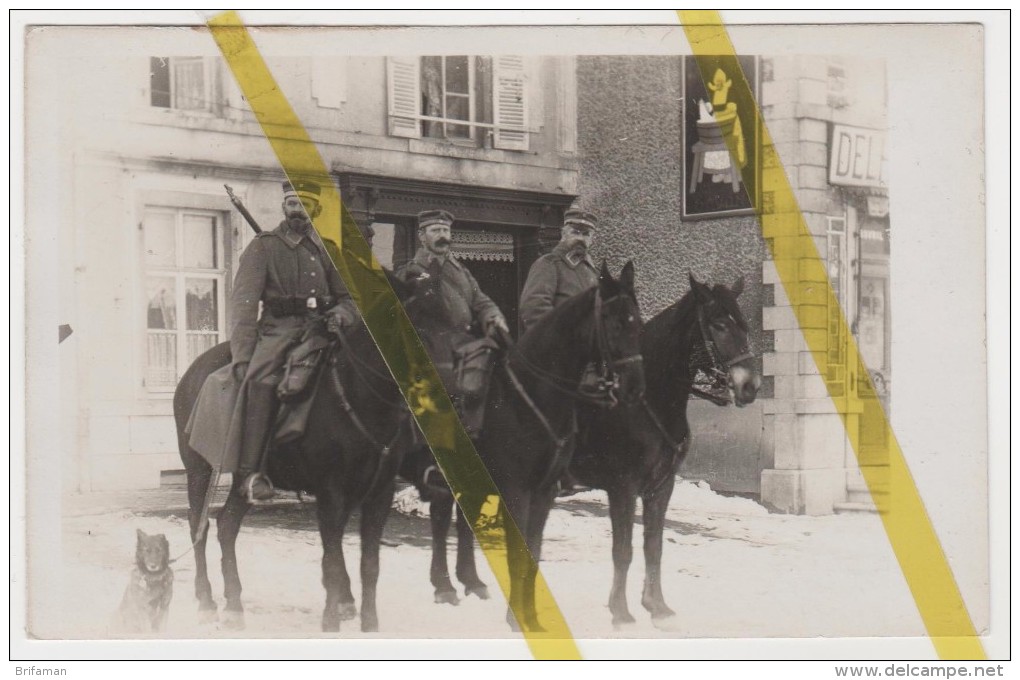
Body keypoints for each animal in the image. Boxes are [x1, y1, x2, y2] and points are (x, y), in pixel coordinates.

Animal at [173, 269, 448, 632]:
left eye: (450, 324)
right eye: (414, 327)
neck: (356, 394)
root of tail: (191, 371)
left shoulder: (377, 492)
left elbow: (368, 562)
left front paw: (366, 621)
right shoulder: (331, 491)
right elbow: (332, 554)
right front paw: (332, 617)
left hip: (242, 480)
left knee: (227, 525)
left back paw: (234, 604)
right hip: (198, 470)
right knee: (198, 525)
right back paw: (206, 600)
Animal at [575, 273, 758, 623]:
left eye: (744, 326)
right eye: (718, 325)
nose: (750, 387)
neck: (648, 402)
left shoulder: (661, 486)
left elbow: (654, 546)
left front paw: (656, 606)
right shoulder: (623, 487)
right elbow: (623, 550)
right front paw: (621, 611)